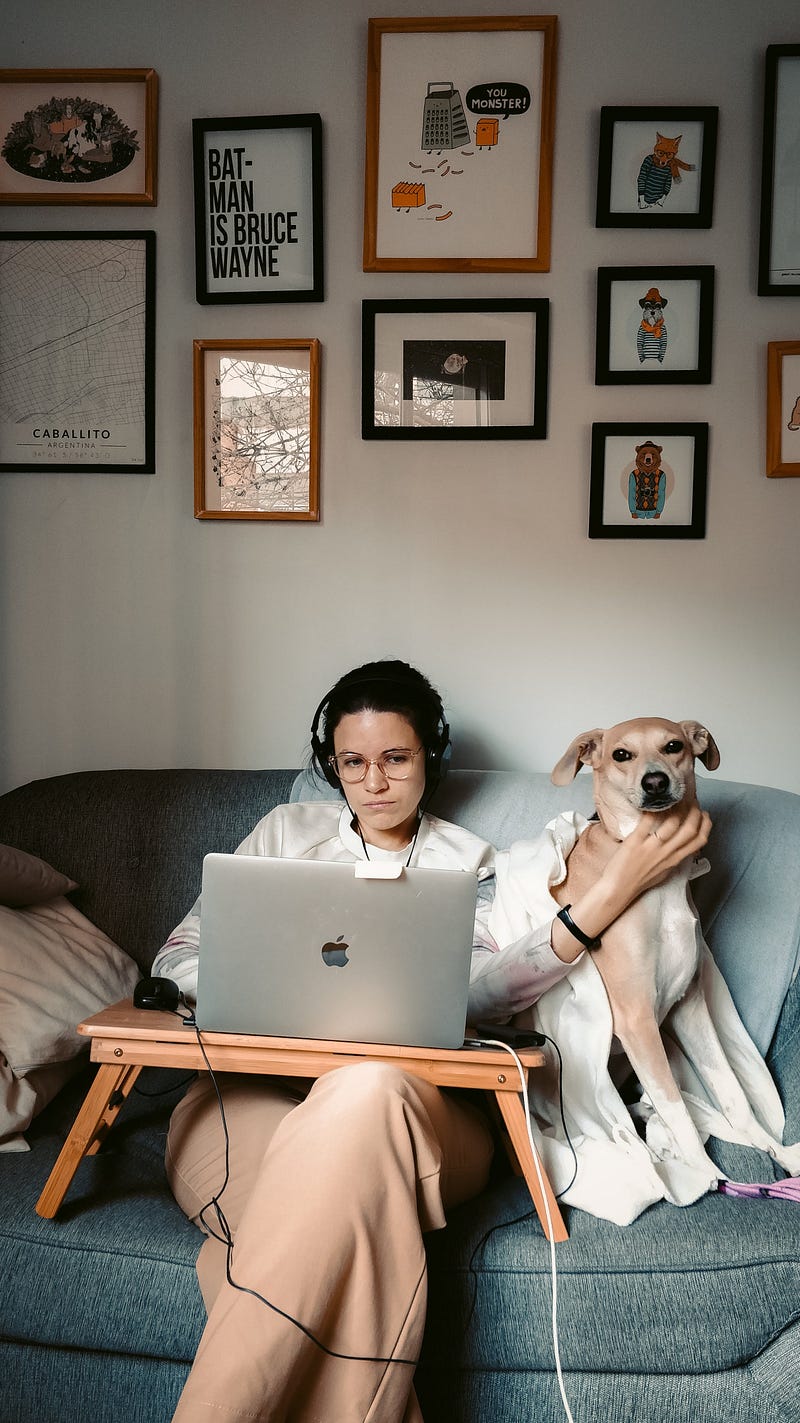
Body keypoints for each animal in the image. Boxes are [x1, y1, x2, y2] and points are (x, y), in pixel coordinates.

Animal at [546, 722, 797, 1178]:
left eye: (673, 746)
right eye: (621, 754)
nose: (655, 782)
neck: (660, 880)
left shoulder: (689, 1005)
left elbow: (733, 1094)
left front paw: (774, 1150)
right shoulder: (637, 1019)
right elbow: (678, 1111)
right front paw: (709, 1176)